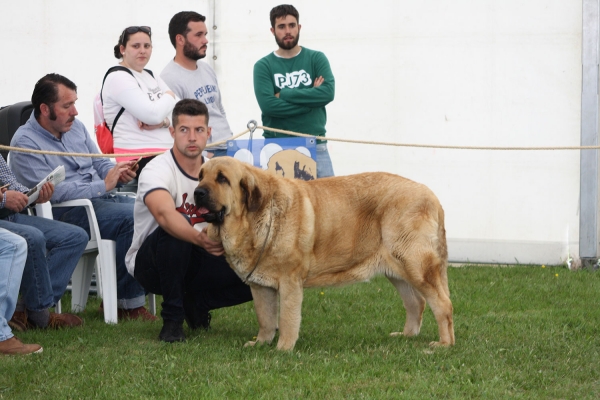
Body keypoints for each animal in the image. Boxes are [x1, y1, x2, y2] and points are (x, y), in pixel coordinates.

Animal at [195, 156, 452, 350]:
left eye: (222, 178)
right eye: (200, 175)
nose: (197, 192)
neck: (256, 217)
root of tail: (432, 197)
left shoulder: (289, 282)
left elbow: (287, 319)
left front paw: (283, 348)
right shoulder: (260, 286)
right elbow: (265, 318)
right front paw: (260, 343)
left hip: (416, 266)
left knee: (442, 303)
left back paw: (444, 344)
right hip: (397, 270)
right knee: (416, 303)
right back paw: (407, 336)